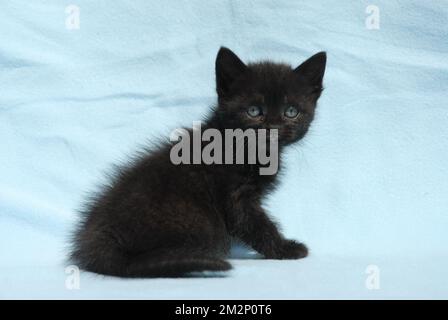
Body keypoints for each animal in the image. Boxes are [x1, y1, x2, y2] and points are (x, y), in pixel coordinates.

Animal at [69, 47, 326, 278]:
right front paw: (286, 249)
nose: (272, 128)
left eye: (291, 111)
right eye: (254, 111)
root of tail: (100, 244)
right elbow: (255, 225)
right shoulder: (236, 197)